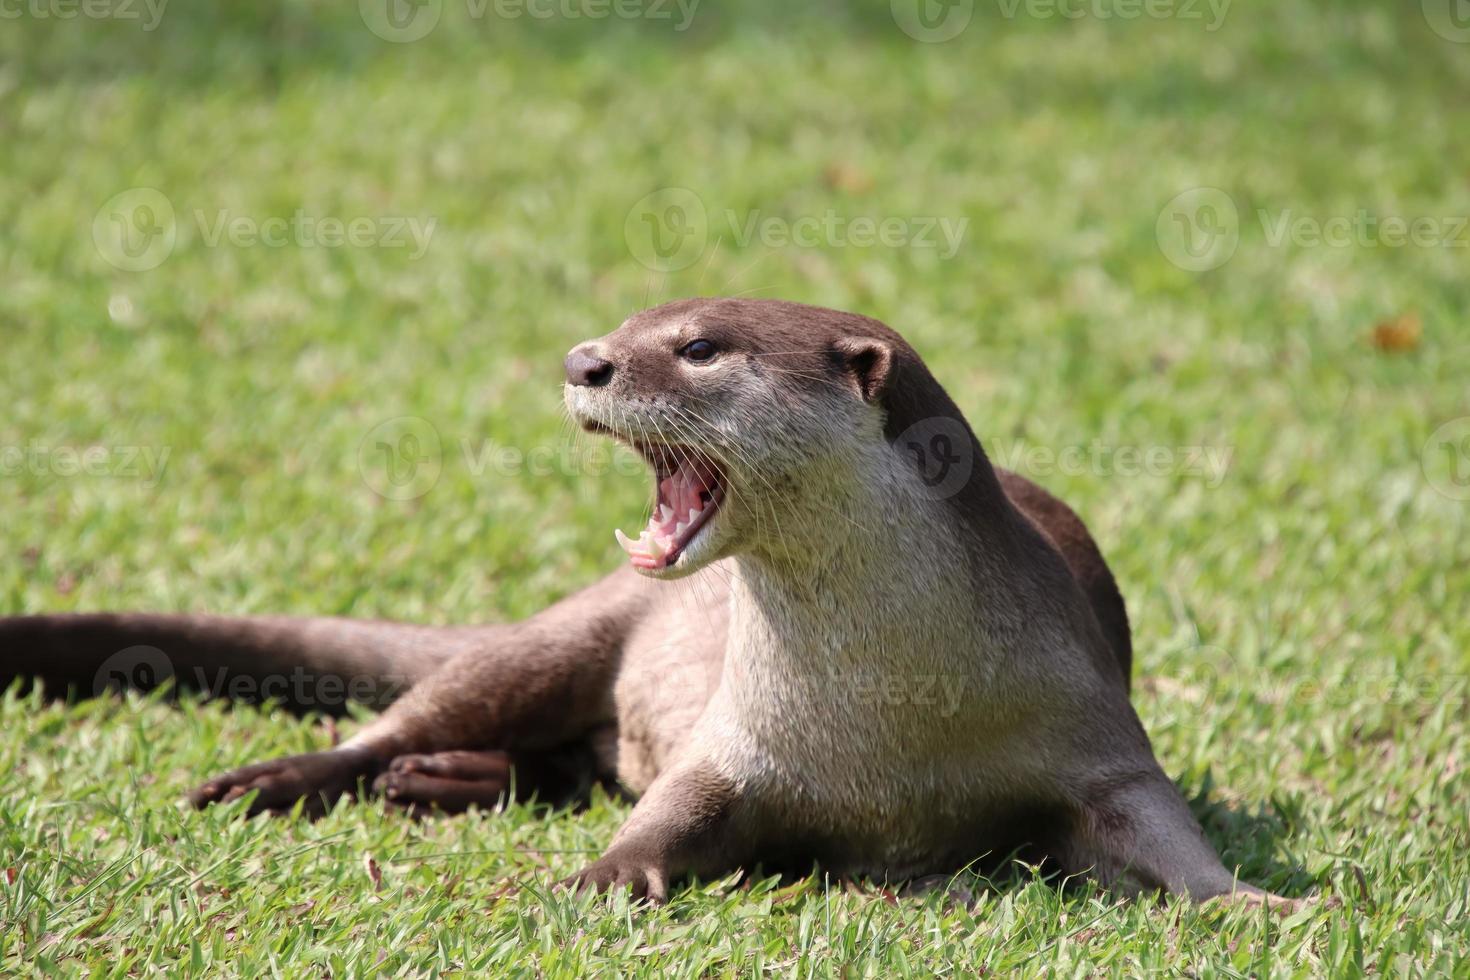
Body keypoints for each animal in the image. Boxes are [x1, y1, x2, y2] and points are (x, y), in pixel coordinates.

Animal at [0, 301, 1287, 910]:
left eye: (699, 345)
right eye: (627, 326)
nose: (584, 359)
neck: (896, 709)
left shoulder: (1091, 730)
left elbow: (1165, 829)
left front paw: (1257, 901)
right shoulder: (739, 738)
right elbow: (673, 809)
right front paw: (598, 877)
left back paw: (443, 783)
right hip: (562, 636)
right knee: (410, 716)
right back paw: (283, 779)